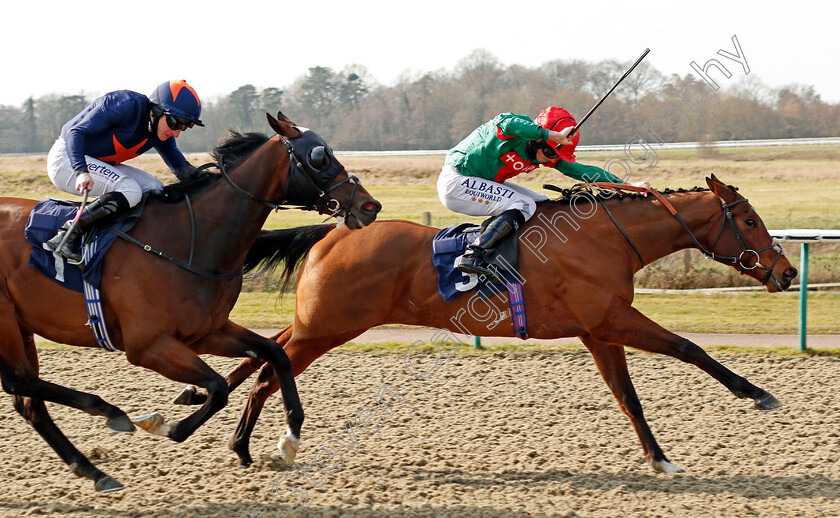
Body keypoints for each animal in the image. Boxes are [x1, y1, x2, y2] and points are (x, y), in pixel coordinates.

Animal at [0, 111, 378, 494]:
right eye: (319, 156)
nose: (370, 206)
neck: (187, 239)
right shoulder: (148, 345)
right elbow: (218, 387)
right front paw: (167, 425)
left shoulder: (207, 331)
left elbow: (276, 355)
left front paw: (290, 437)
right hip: (7, 321)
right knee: (20, 382)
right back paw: (110, 414)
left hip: (22, 324)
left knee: (27, 400)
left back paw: (94, 470)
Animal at [176, 178, 796, 476]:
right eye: (748, 219)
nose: (787, 272)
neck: (608, 237)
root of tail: (333, 232)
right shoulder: (612, 317)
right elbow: (688, 348)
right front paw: (758, 393)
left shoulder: (598, 330)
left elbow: (628, 398)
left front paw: (661, 459)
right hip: (326, 326)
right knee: (268, 369)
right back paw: (249, 444)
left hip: (319, 323)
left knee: (264, 353)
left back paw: (210, 421)